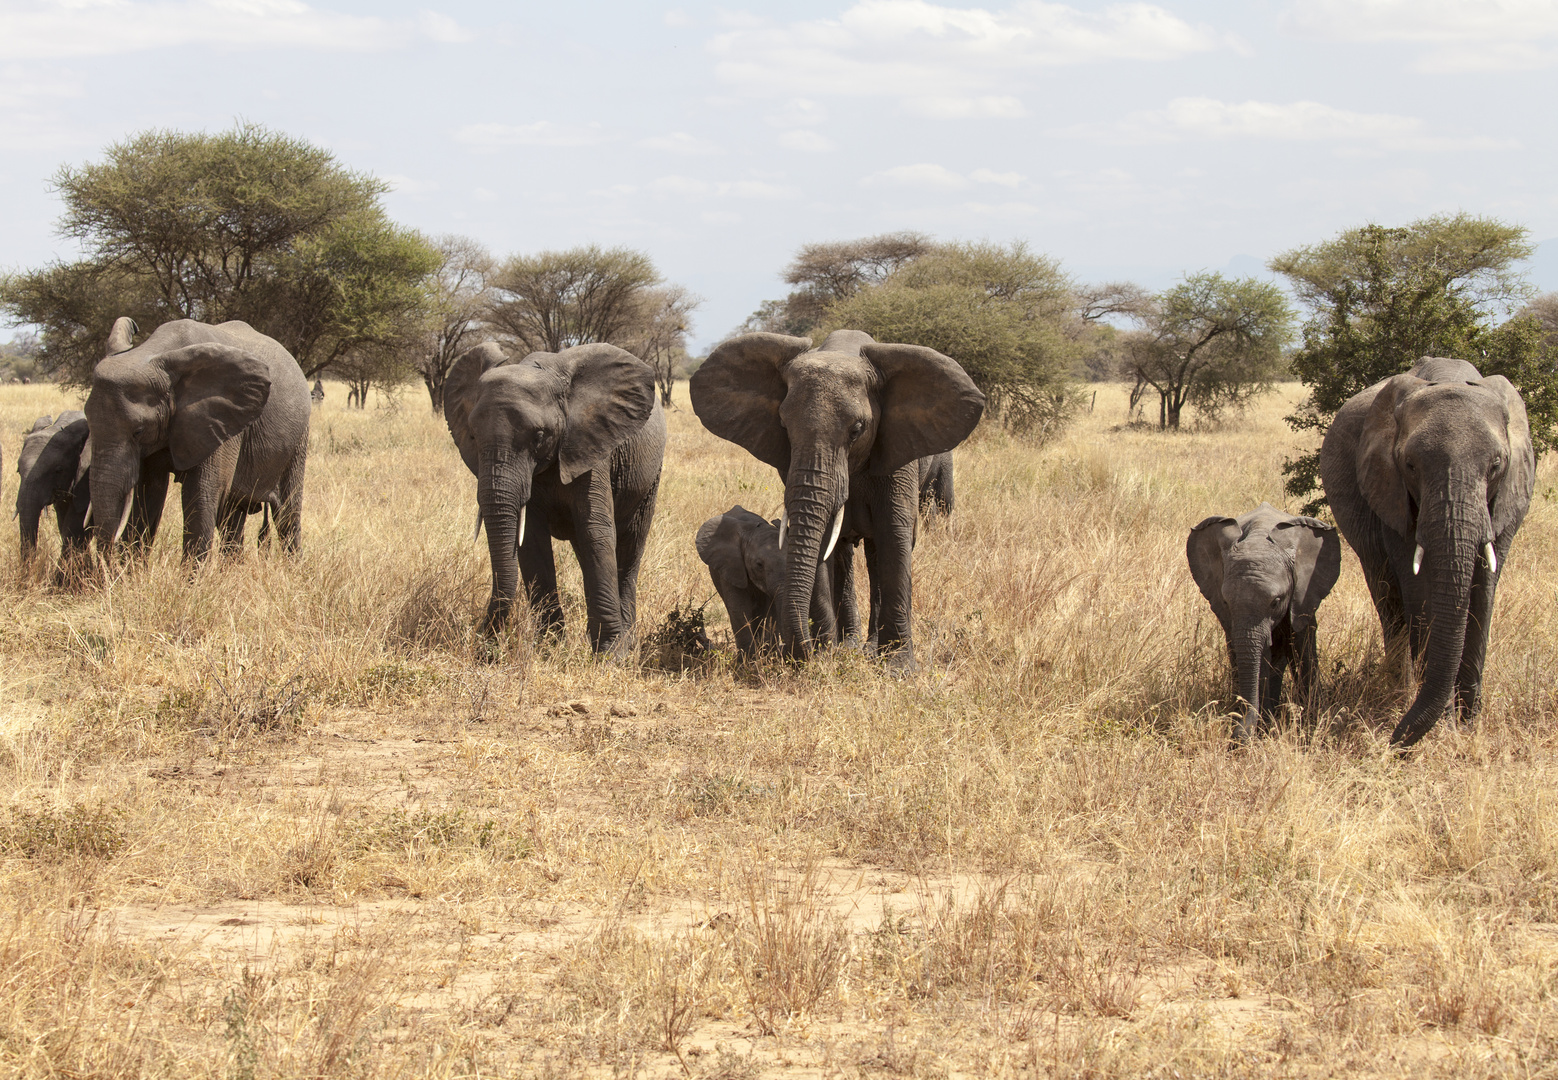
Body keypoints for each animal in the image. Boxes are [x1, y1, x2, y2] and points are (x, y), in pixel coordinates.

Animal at [82, 316, 313, 561]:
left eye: (139, 431)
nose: (109, 560)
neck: (154, 353)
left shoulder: (220, 421)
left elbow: (200, 495)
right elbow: (149, 493)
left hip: (298, 438)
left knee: (287, 514)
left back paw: (292, 565)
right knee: (232, 515)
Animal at [442, 341, 666, 651]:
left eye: (539, 436)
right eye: (473, 436)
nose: (484, 647)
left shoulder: (591, 446)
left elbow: (595, 532)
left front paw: (611, 654)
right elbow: (531, 542)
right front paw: (550, 648)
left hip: (650, 476)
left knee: (630, 545)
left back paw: (628, 642)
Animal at [688, 324, 978, 670]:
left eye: (857, 429)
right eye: (784, 425)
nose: (800, 654)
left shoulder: (899, 453)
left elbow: (895, 535)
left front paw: (898, 669)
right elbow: (822, 540)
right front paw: (825, 657)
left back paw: (869, 649)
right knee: (844, 554)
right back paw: (850, 646)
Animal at [1184, 504, 1346, 741]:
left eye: (1276, 601)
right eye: (1226, 601)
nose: (1237, 737)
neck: (1259, 535)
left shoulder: (1303, 595)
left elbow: (1301, 646)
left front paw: (1311, 722)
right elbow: (1260, 657)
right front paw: (1263, 727)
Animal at [1321, 358, 1539, 744]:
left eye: (1496, 465)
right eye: (1410, 465)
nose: (1391, 743)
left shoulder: (1509, 496)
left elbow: (1484, 591)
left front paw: (1468, 725)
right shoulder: (1390, 490)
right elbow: (1420, 592)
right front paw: (1447, 727)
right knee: (1388, 598)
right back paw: (1400, 693)